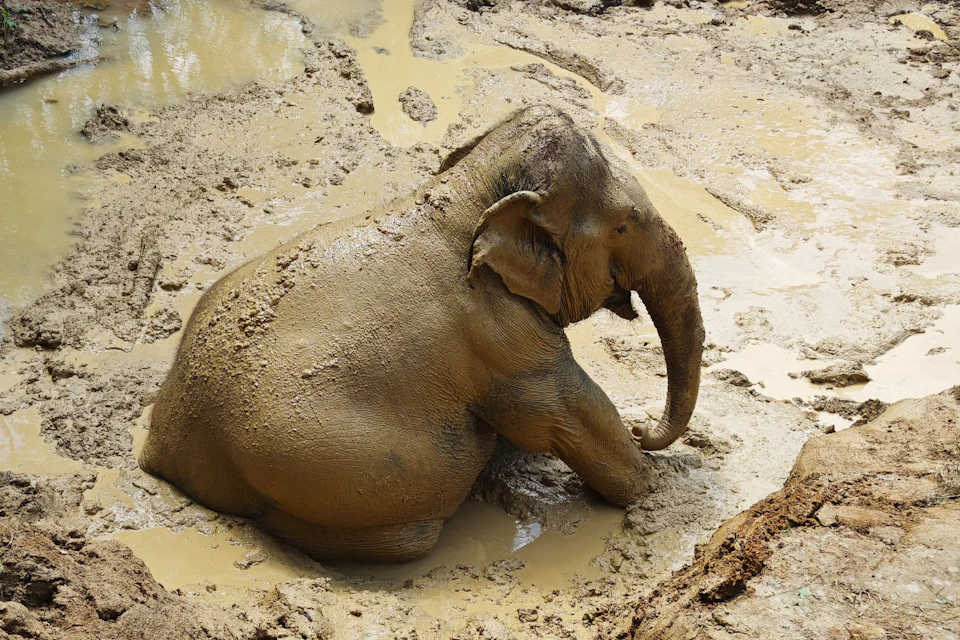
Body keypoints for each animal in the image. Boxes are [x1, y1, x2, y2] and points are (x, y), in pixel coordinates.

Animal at [140, 106, 705, 563]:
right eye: (625, 224)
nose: (642, 425)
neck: (467, 192)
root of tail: (162, 451)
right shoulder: (503, 335)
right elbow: (568, 412)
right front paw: (652, 486)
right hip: (337, 470)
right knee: (418, 521)